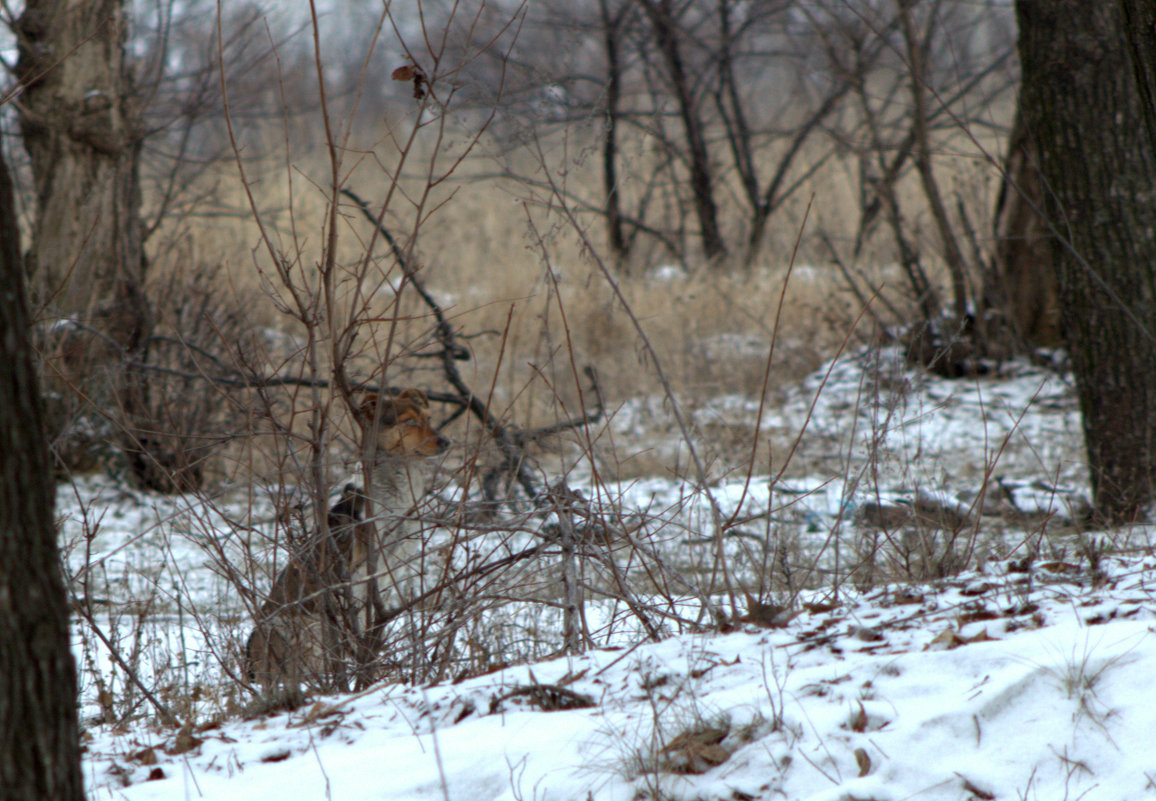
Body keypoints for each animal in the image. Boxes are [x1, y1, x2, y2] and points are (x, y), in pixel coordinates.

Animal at [246, 388, 448, 688]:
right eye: (410, 422)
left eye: (429, 418)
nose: (446, 442)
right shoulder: (355, 577)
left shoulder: (392, 573)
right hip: (297, 626)